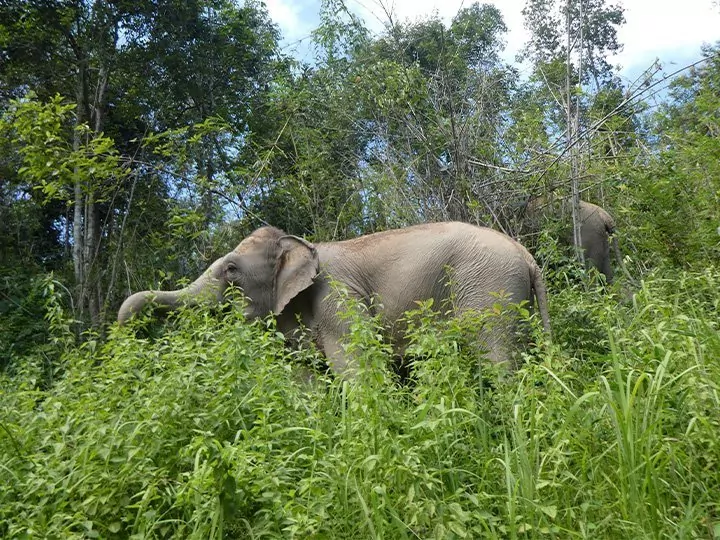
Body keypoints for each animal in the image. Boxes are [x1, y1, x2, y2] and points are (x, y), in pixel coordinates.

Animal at [119, 221, 552, 378]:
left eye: (231, 270)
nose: (127, 331)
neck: (300, 244)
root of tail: (527, 256)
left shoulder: (337, 299)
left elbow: (354, 369)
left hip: (489, 290)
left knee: (496, 357)